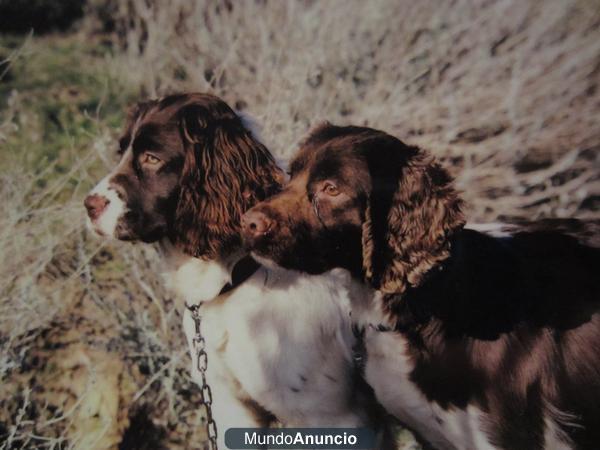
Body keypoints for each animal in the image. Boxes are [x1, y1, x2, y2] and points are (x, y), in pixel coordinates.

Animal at [84, 99, 394, 450]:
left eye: (152, 158)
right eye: (121, 150)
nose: (89, 205)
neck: (237, 276)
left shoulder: (333, 418)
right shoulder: (230, 406)